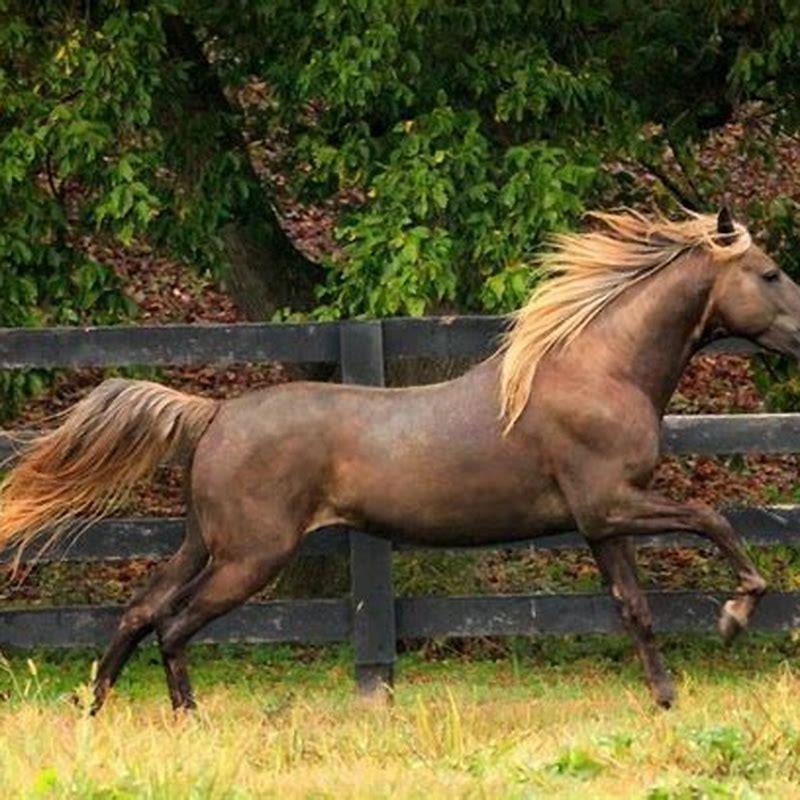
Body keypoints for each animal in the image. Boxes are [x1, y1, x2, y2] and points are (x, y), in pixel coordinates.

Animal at [2, 207, 799, 713]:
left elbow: (634, 607)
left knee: (140, 609)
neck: (598, 369)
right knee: (173, 623)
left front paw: (666, 697)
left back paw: (96, 707)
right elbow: (713, 517)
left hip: (205, 542)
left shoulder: (600, 524)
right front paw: (733, 616)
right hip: (251, 556)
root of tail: (218, 412)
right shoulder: (614, 503)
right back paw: (186, 716)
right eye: (768, 273)